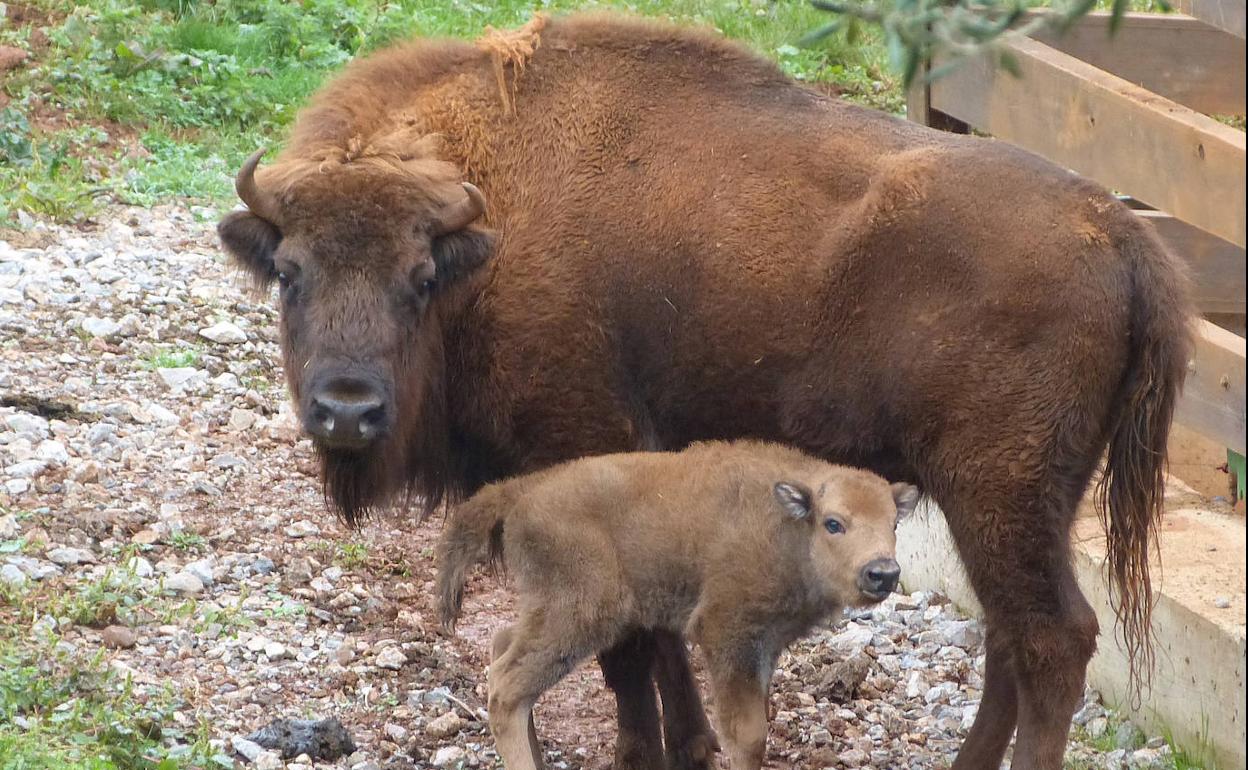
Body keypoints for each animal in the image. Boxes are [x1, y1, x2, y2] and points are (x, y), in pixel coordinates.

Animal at [439, 439, 918, 768]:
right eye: (834, 523)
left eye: (894, 524)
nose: (882, 572)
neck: (786, 526)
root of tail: (521, 492)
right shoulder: (727, 634)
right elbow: (747, 734)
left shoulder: (764, 647)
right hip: (581, 616)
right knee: (507, 688)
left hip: (550, 611)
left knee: (504, 648)